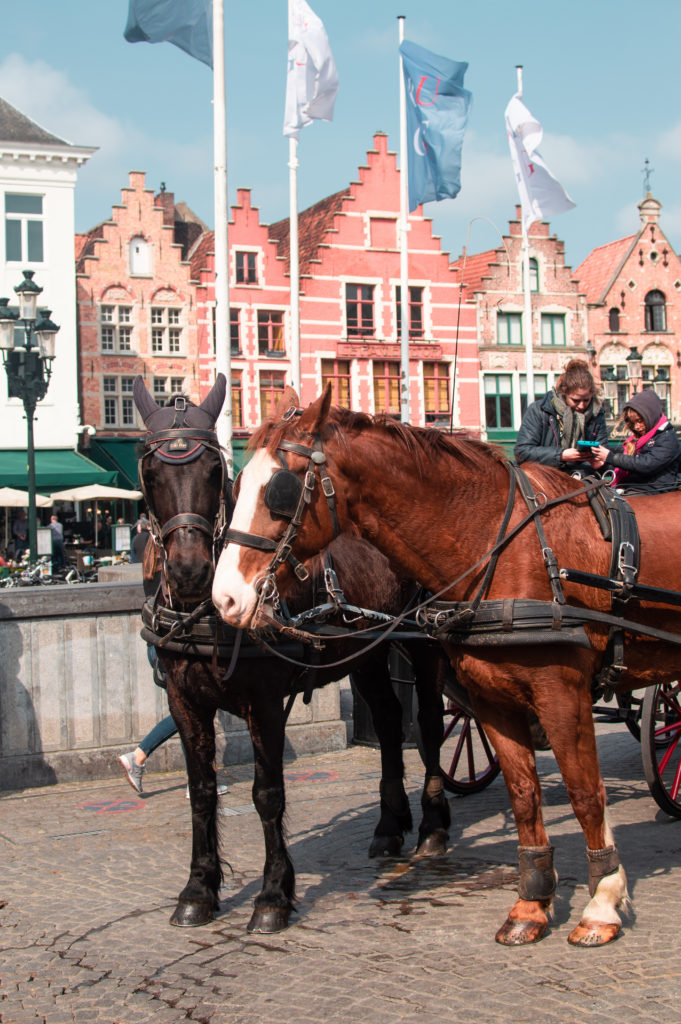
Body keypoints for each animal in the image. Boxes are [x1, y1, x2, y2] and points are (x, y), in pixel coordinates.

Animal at [134, 378, 450, 937]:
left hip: (423, 641)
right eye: (151, 474)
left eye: (214, 471)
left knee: (429, 723)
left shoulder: (262, 704)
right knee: (390, 722)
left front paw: (273, 895)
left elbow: (268, 793)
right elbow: (202, 791)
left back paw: (432, 827)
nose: (192, 570)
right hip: (366, 653)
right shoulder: (184, 703)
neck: (202, 616)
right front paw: (198, 888)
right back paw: (388, 827)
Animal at [209, 387, 679, 946]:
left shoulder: (562, 692)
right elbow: (524, 795)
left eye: (279, 491)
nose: (224, 598)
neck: (499, 545)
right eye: (235, 485)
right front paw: (531, 905)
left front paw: (603, 902)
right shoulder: (493, 699)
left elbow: (587, 792)